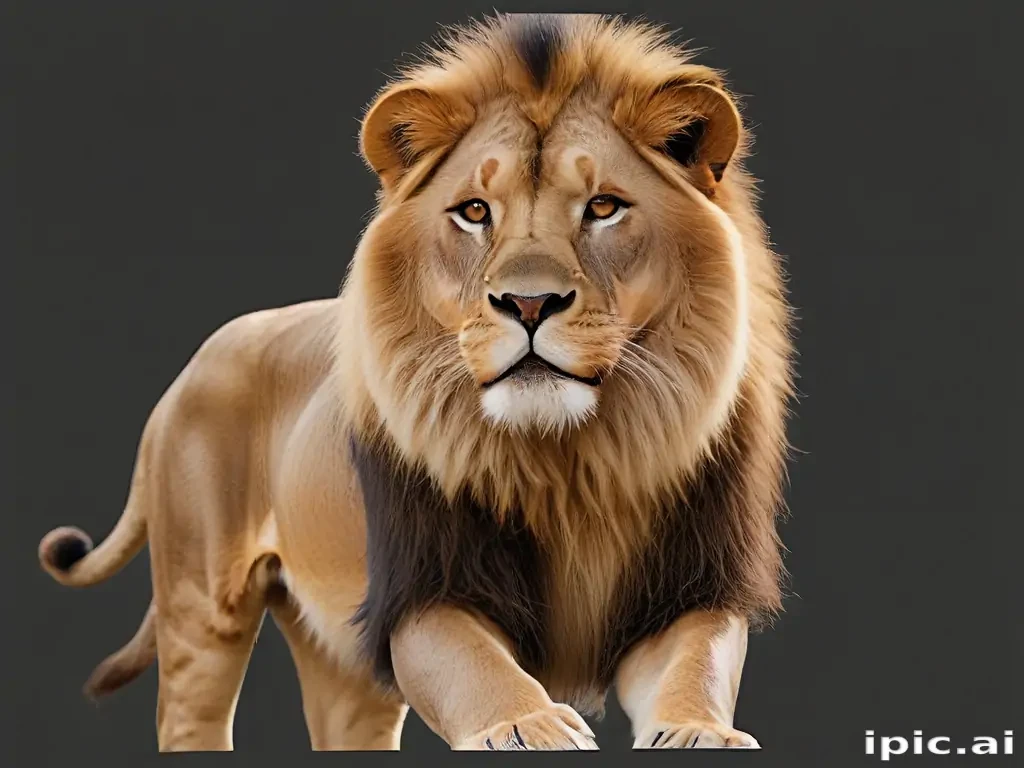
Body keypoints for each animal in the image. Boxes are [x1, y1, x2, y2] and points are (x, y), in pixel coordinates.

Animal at [37, 13, 793, 751]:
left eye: (604, 208)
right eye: (475, 212)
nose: (528, 304)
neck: (567, 463)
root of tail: (194, 365)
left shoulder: (691, 585)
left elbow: (697, 664)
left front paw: (698, 732)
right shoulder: (422, 593)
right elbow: (480, 670)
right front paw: (529, 726)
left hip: (340, 656)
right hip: (202, 606)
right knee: (190, 716)